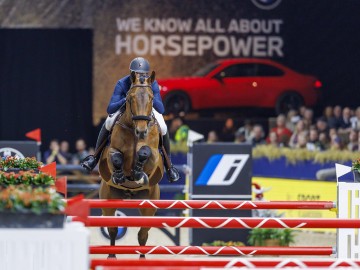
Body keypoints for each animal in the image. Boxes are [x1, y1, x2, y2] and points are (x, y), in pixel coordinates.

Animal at [99, 70, 165, 258]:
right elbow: (116, 158)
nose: (141, 131)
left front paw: (138, 174)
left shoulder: (155, 157)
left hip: (149, 207)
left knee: (143, 234)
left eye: (151, 98)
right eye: (130, 98)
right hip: (108, 201)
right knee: (113, 229)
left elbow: (146, 153)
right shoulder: (110, 152)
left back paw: (141, 258)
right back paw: (112, 256)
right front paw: (120, 175)